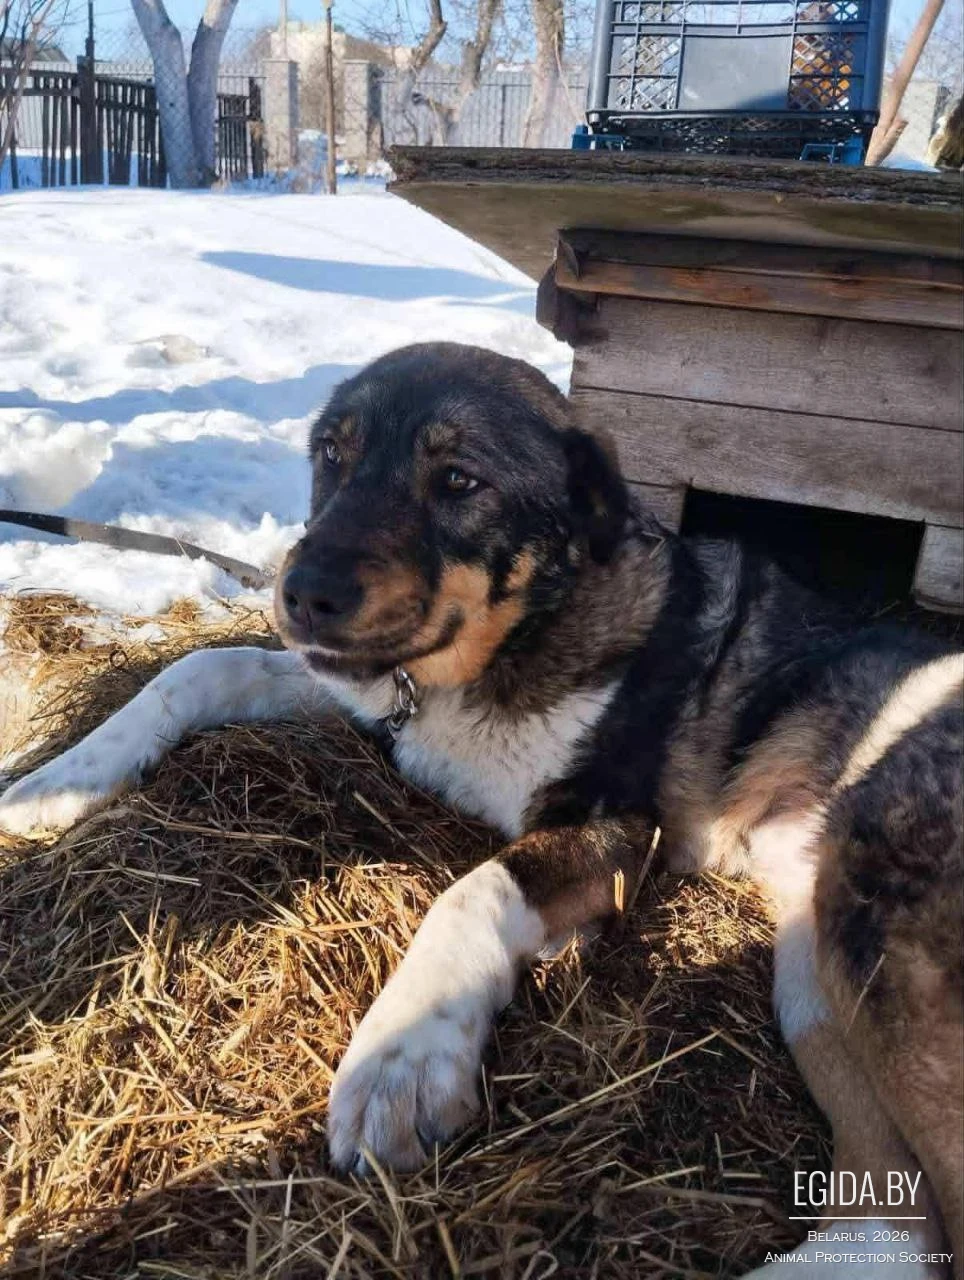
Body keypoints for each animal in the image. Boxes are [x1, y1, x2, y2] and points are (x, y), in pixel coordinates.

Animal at [1, 343, 961, 1279]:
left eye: (460, 481)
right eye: (332, 455)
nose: (301, 591)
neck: (519, 641)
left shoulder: (619, 827)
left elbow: (473, 890)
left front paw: (406, 1053)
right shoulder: (376, 701)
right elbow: (199, 668)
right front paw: (60, 779)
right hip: (814, 970)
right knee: (896, 1215)